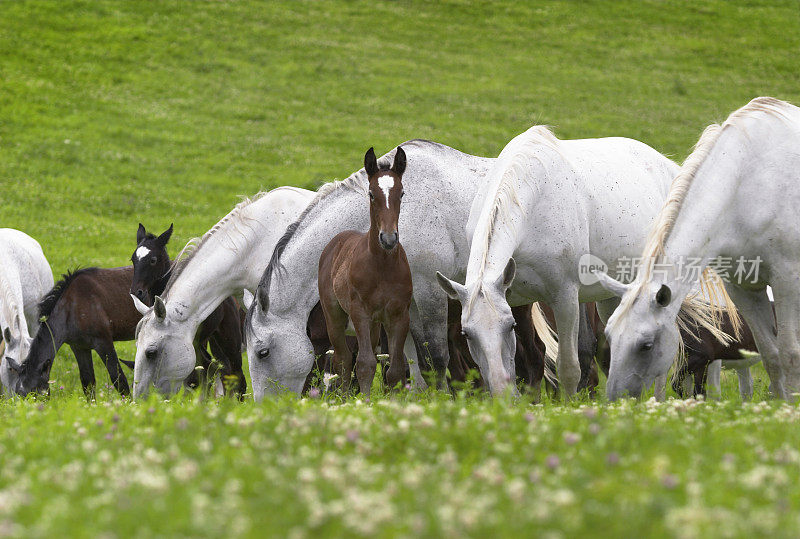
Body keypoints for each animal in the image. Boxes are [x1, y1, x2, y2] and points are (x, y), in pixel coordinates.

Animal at [316, 147, 412, 396]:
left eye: (401, 193)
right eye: (371, 193)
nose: (388, 238)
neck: (382, 267)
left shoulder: (399, 315)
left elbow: (395, 369)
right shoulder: (360, 312)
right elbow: (365, 363)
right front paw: (365, 402)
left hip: (375, 325)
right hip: (335, 317)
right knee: (342, 360)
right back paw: (343, 397)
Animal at [434, 126, 680, 396]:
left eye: (510, 326)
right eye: (467, 333)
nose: (501, 391)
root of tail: (668, 166)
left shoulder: (565, 299)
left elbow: (569, 367)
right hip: (613, 296)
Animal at [600, 97, 800, 400]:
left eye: (646, 345)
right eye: (610, 335)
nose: (615, 400)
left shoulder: (786, 283)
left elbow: (789, 354)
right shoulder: (744, 289)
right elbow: (772, 355)